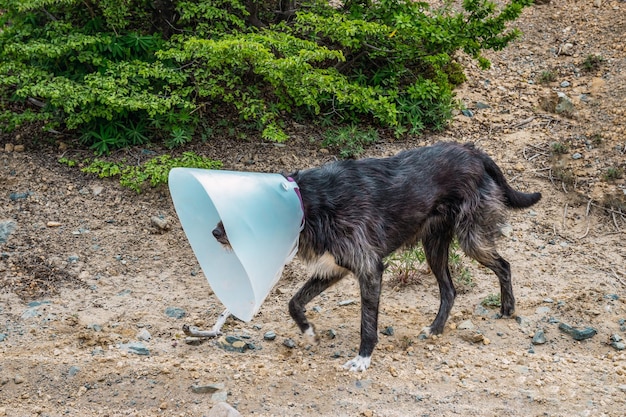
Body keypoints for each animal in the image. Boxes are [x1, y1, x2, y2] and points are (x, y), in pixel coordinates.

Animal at [211, 142, 540, 370]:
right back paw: (435, 329)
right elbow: (294, 302)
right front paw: (308, 332)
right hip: (434, 246)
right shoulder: (333, 268)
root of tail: (474, 152)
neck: (311, 202)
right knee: (449, 289)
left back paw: (507, 308)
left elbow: (367, 323)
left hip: (470, 239)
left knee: (504, 265)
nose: (213, 232)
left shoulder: (369, 269)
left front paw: (363, 358)